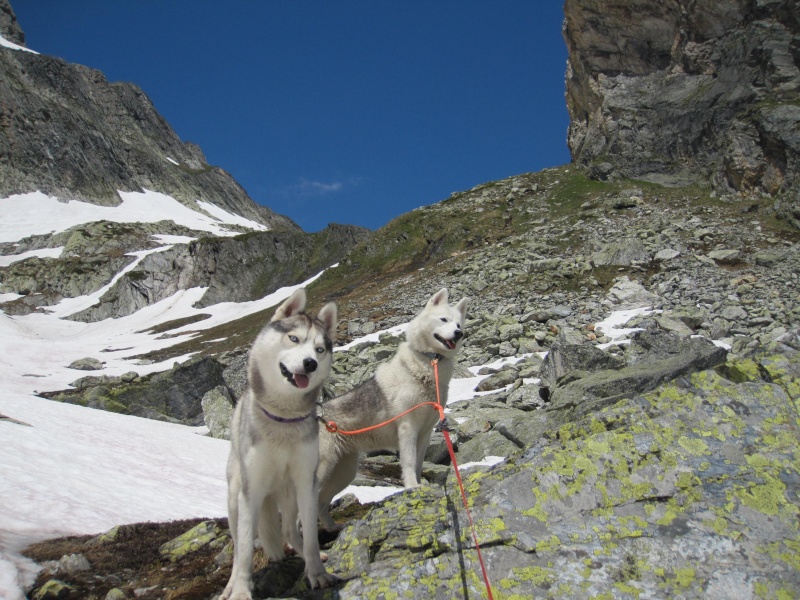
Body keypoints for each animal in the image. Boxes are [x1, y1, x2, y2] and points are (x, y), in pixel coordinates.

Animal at [223, 288, 340, 596]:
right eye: (294, 338)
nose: (310, 363)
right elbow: (244, 554)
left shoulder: (306, 482)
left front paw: (318, 574)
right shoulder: (251, 490)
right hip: (235, 499)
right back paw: (229, 586)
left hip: (290, 495)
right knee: (238, 548)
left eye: (320, 349)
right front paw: (241, 591)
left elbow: (309, 537)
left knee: (289, 530)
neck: (283, 419)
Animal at [318, 288, 468, 528]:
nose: (458, 333)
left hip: (342, 473)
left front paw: (419, 485)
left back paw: (333, 528)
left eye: (458, 324)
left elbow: (418, 463)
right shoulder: (407, 429)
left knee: (319, 505)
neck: (427, 367)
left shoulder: (425, 433)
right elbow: (408, 461)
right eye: (444, 320)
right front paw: (412, 486)